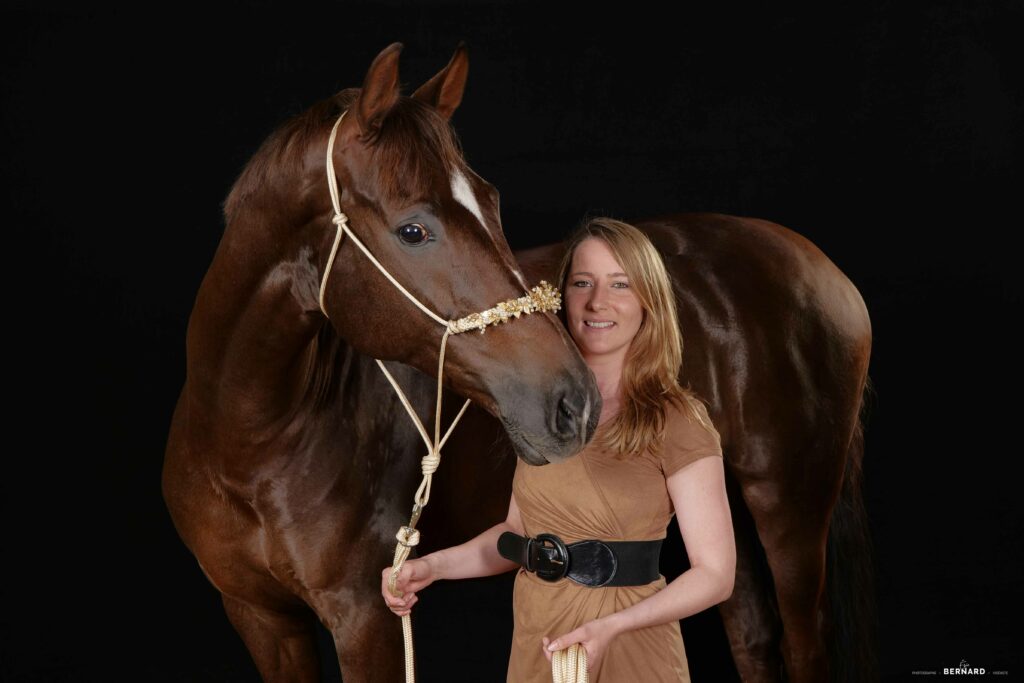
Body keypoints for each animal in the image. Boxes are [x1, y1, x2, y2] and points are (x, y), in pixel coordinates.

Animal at [161, 44, 598, 683]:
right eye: (412, 230)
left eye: (491, 202)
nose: (577, 402)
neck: (253, 443)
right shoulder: (258, 615)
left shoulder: (367, 618)